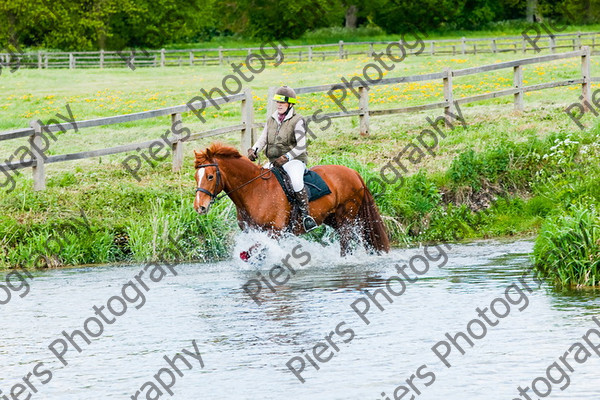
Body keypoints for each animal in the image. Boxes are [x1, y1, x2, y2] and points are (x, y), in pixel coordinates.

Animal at [192, 144, 390, 256]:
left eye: (210, 176)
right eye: (196, 176)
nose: (199, 207)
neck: (254, 190)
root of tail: (353, 172)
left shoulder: (275, 232)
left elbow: (254, 251)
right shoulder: (253, 232)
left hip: (346, 217)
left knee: (346, 243)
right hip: (333, 218)